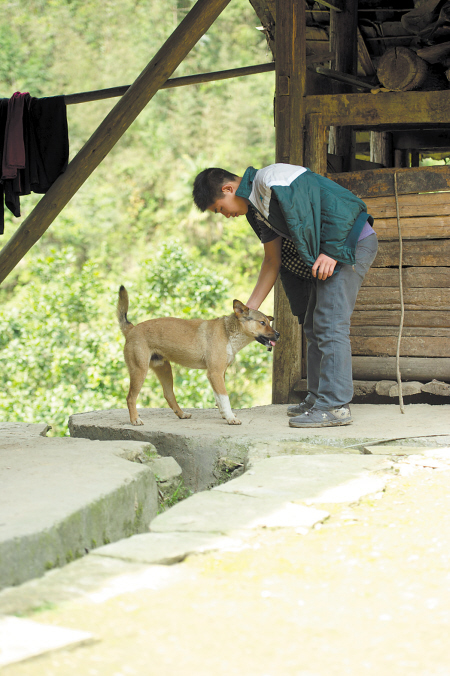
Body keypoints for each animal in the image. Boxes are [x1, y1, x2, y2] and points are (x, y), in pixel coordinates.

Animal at [117, 284, 278, 422]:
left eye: (269, 322)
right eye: (262, 323)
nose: (278, 334)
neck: (228, 332)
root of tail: (132, 329)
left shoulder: (219, 374)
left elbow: (219, 398)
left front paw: (225, 414)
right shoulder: (215, 373)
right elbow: (224, 398)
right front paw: (230, 417)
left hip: (164, 369)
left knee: (168, 395)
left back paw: (182, 414)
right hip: (139, 371)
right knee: (130, 397)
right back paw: (135, 420)